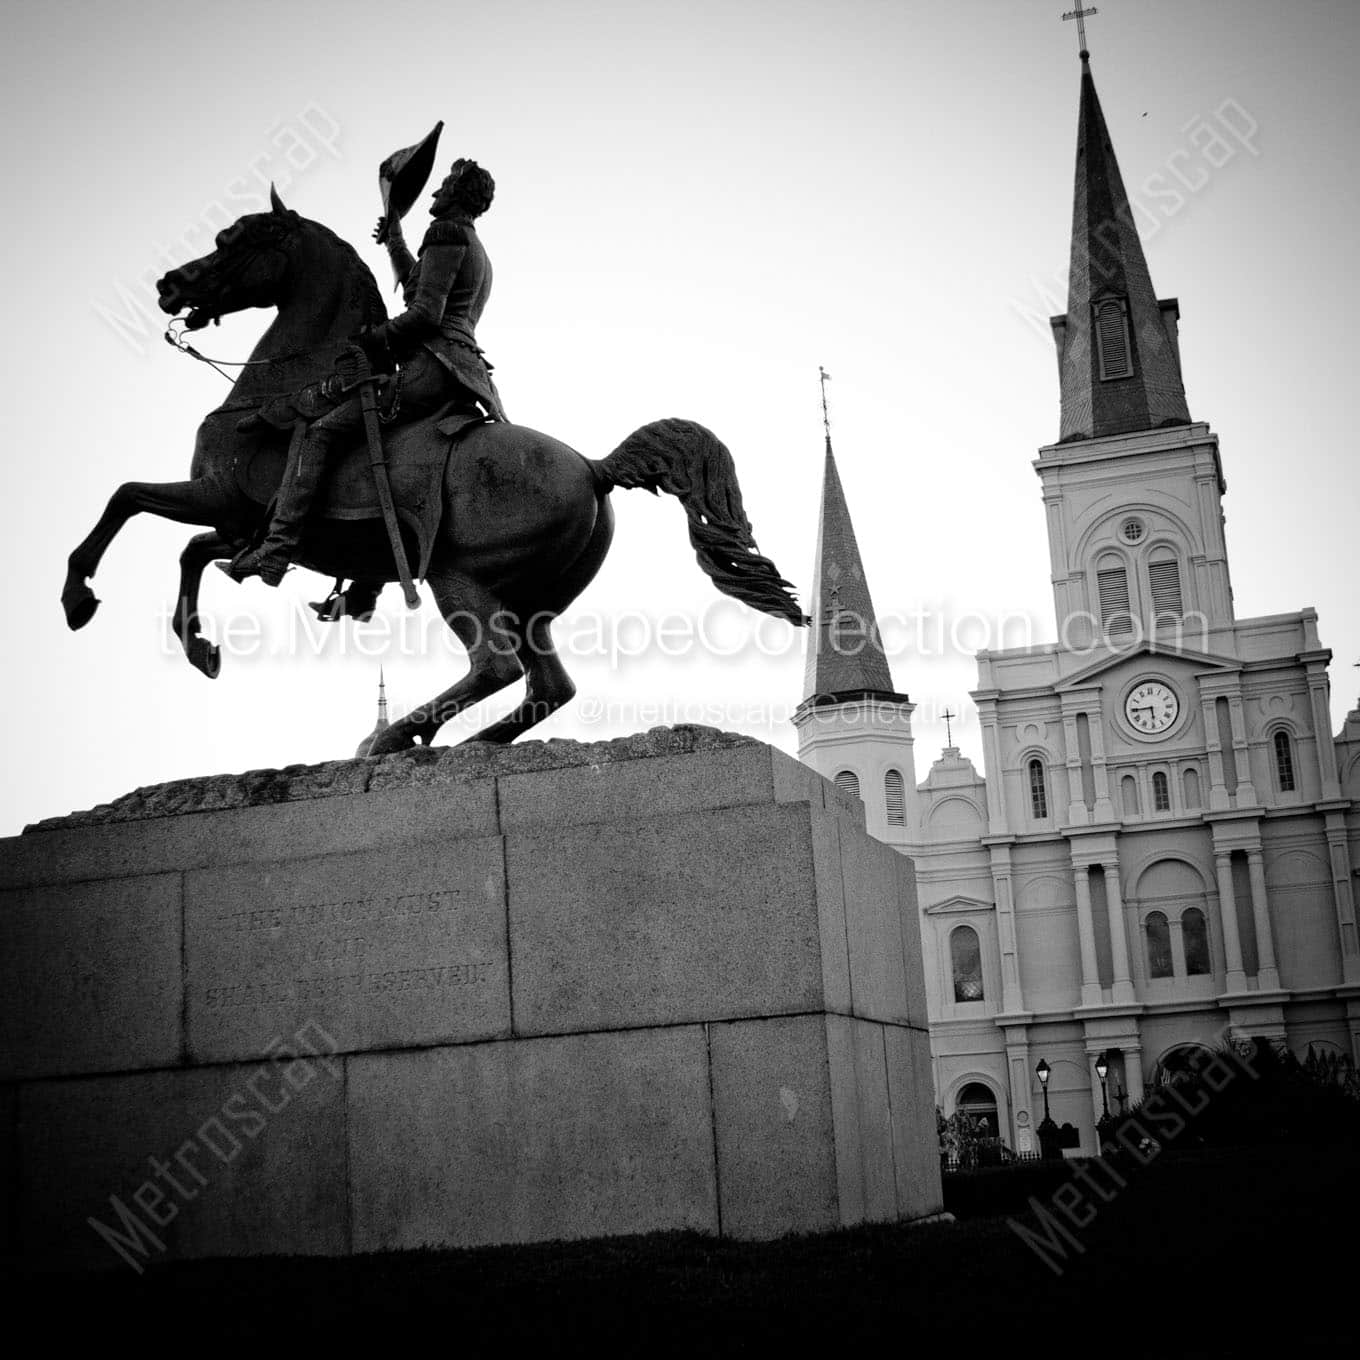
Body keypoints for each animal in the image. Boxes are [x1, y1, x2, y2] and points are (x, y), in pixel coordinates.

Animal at [61, 189, 805, 756]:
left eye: (232, 239)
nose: (170, 285)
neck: (282, 385)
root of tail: (593, 469)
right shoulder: (243, 522)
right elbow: (190, 550)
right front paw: (200, 648)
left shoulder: (220, 497)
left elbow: (126, 500)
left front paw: (80, 600)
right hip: (529, 601)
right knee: (547, 685)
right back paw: (469, 744)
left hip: (460, 578)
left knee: (496, 666)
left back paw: (392, 740)